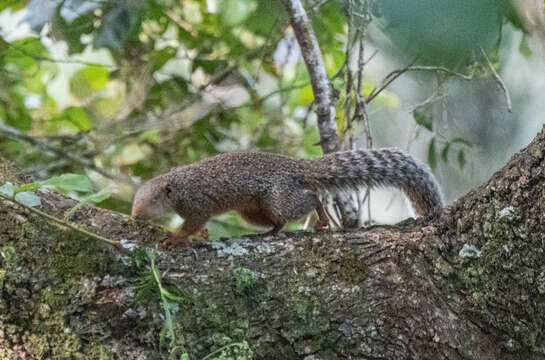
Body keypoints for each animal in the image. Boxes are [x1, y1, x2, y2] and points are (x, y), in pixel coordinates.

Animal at [131, 149, 442, 248]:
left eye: (150, 203)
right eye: (135, 201)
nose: (134, 215)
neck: (177, 186)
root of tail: (295, 167)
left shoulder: (197, 203)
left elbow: (193, 222)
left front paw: (175, 238)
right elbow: (199, 227)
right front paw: (201, 236)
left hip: (279, 199)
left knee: (311, 198)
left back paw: (321, 219)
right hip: (253, 210)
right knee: (280, 219)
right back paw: (270, 232)